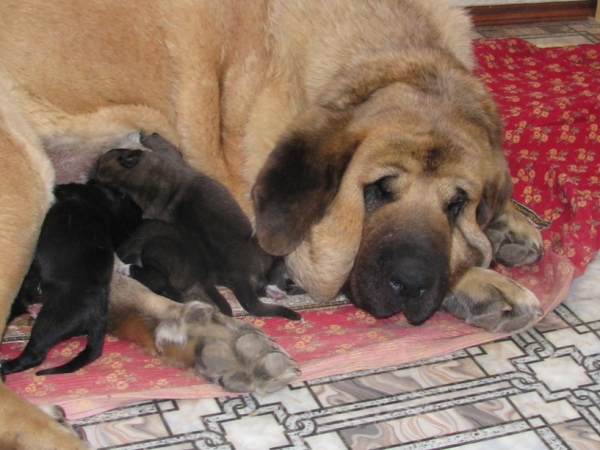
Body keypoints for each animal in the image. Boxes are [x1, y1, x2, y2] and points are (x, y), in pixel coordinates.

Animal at [96, 132, 302, 322]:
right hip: (266, 249)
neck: (142, 184)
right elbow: (163, 144)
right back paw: (277, 289)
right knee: (276, 269)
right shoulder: (169, 154)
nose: (96, 160)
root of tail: (236, 275)